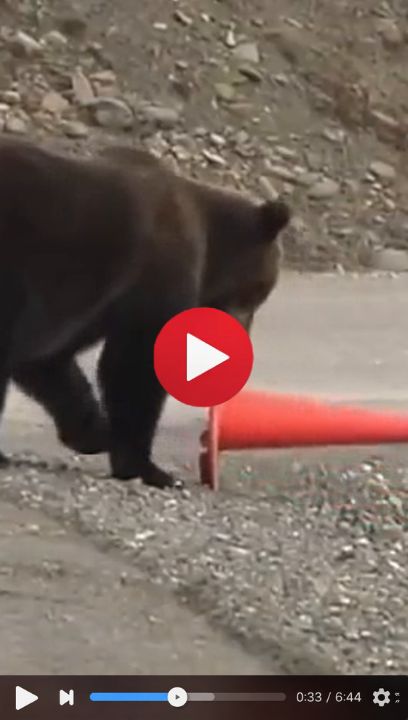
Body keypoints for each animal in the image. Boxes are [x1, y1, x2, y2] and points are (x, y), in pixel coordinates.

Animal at [0, 138, 290, 489]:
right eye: (261, 289)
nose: (241, 331)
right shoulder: (154, 275)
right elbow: (135, 366)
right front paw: (148, 467)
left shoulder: (91, 301)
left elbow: (50, 360)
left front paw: (94, 432)